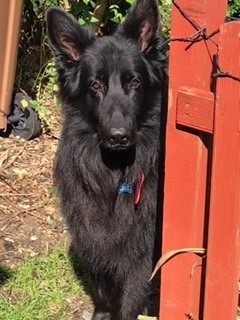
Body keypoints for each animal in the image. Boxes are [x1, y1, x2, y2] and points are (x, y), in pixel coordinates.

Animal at [47, 0, 167, 318]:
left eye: (134, 82)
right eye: (95, 85)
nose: (118, 136)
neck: (115, 173)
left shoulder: (140, 252)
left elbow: (128, 301)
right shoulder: (93, 237)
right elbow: (101, 288)